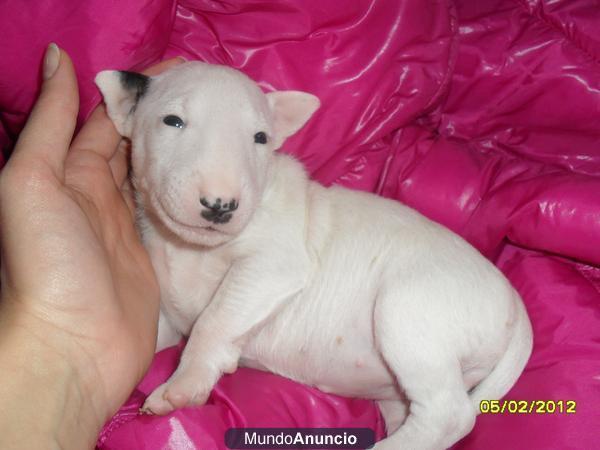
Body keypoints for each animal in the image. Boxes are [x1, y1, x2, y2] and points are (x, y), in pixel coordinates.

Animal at [96, 63, 532, 450]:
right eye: (172, 121)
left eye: (261, 137)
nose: (220, 206)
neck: (193, 248)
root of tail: (516, 305)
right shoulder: (170, 316)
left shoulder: (274, 265)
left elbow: (214, 320)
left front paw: (182, 387)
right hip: (400, 388)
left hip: (412, 310)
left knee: (450, 415)